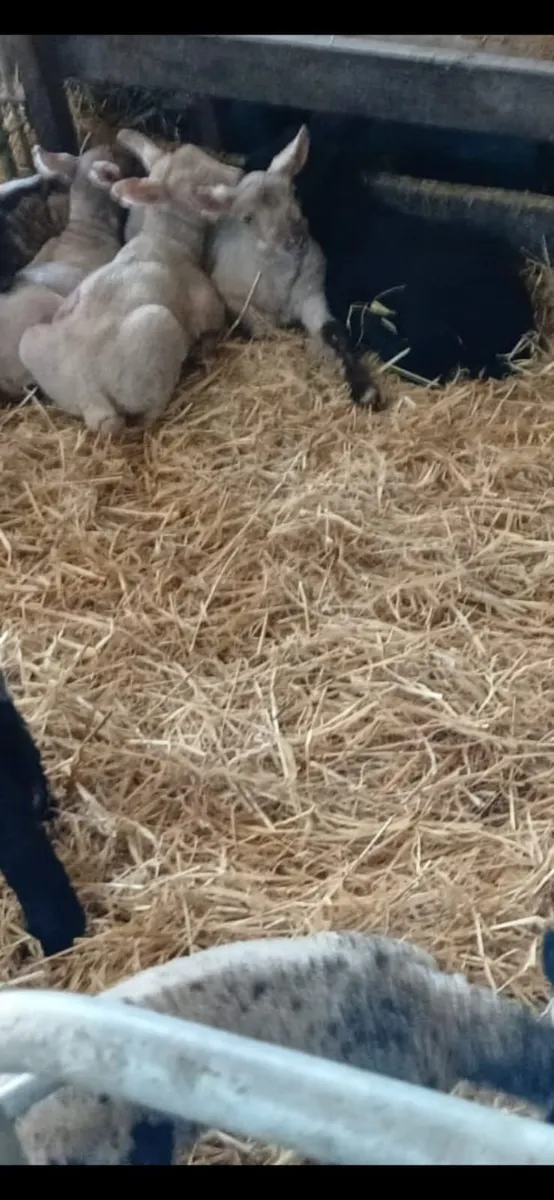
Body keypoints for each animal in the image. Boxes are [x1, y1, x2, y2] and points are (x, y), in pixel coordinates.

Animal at [18, 129, 244, 435]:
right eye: (200, 189)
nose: (239, 173)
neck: (166, 236)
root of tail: (91, 397)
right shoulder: (209, 308)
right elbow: (212, 332)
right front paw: (207, 351)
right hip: (158, 329)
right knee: (151, 413)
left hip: (30, 341)